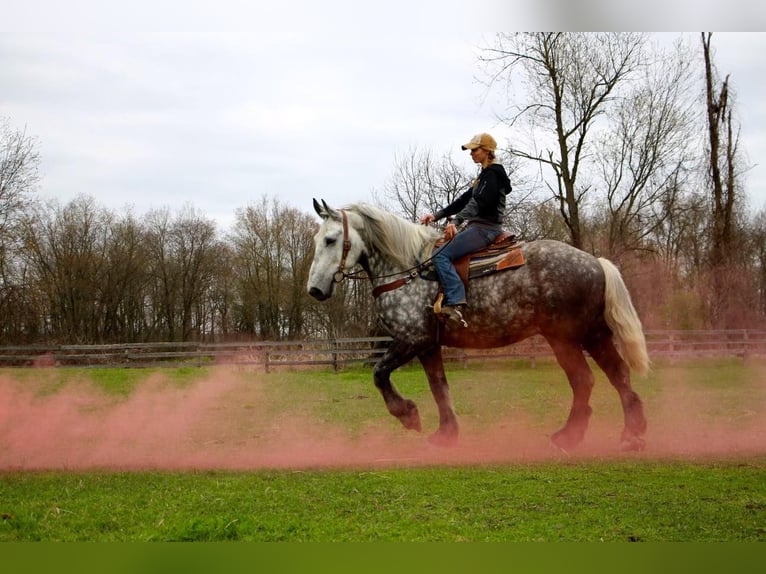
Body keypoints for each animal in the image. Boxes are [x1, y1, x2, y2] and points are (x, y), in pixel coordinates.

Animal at [308, 200, 652, 452]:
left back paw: (572, 436)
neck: (409, 271)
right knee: (617, 375)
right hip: (593, 334)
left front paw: (408, 414)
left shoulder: (411, 339)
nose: (315, 289)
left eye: (330, 239)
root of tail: (595, 262)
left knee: (586, 380)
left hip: (566, 338)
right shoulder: (429, 345)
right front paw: (446, 434)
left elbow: (379, 374)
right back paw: (629, 434)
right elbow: (439, 387)